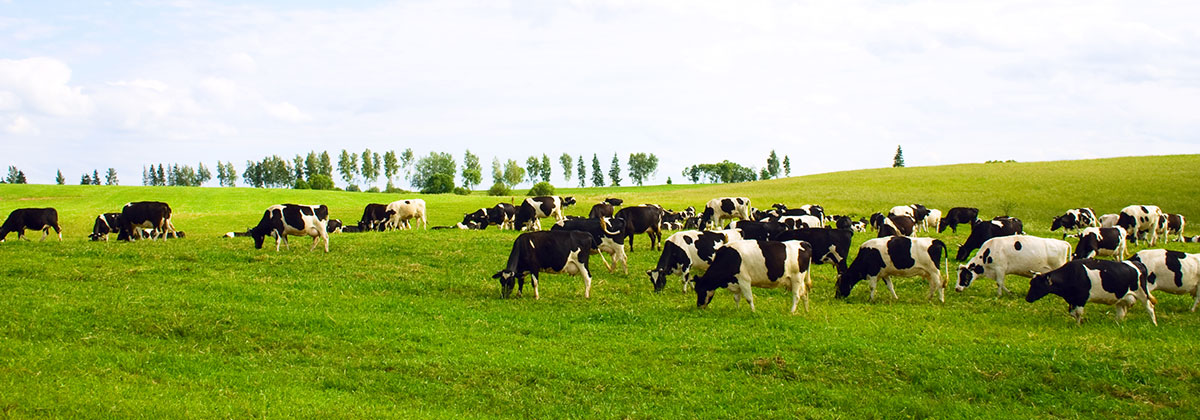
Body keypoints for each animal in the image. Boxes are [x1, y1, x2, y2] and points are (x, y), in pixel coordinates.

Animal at [1027, 258, 1156, 326]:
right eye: (1031, 283)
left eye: (1037, 285)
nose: (1027, 298)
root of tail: (1137, 263)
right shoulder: (1072, 299)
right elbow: (1072, 313)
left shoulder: (1081, 298)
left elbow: (1078, 313)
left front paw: (1078, 325)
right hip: (1121, 298)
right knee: (1121, 313)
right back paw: (1117, 325)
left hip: (1143, 294)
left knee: (1150, 308)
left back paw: (1154, 323)